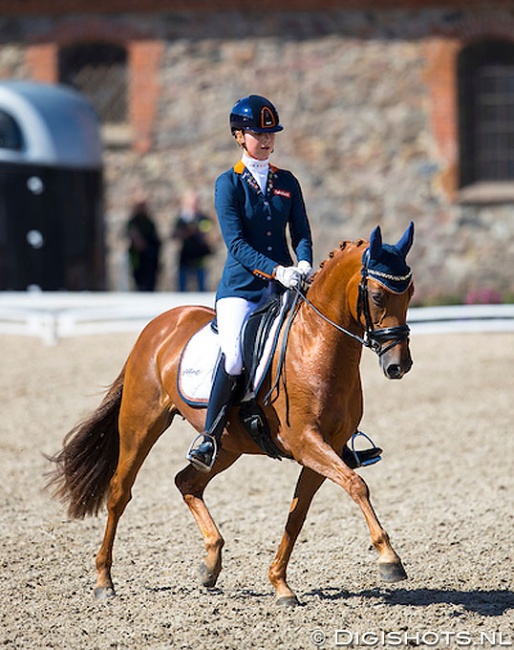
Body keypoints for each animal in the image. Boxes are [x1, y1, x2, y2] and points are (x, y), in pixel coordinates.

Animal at [46, 221, 414, 604]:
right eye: (378, 296)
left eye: (411, 292)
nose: (398, 365)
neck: (316, 347)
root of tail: (159, 324)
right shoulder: (307, 442)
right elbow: (357, 485)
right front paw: (390, 559)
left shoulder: (326, 448)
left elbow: (298, 514)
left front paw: (280, 584)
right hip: (141, 423)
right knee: (120, 491)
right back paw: (104, 580)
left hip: (227, 444)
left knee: (186, 481)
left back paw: (210, 564)